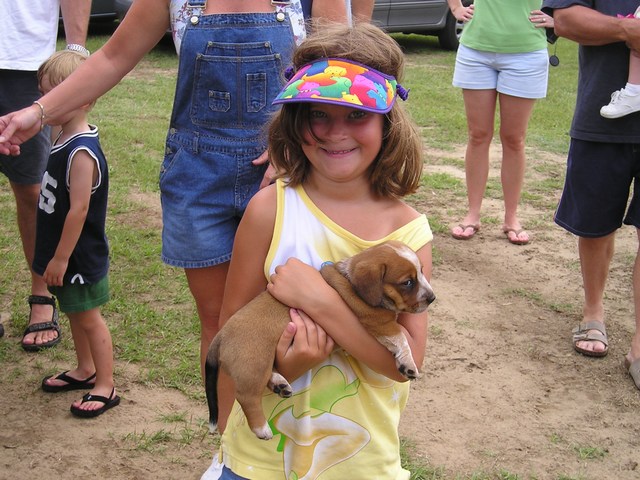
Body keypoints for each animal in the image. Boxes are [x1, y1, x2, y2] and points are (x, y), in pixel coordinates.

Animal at [204, 240, 436, 440]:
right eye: (407, 282)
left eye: (422, 272)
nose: (432, 298)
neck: (351, 278)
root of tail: (220, 337)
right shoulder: (379, 322)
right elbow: (401, 339)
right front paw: (408, 363)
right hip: (255, 363)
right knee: (247, 397)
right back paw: (262, 429)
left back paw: (279, 384)